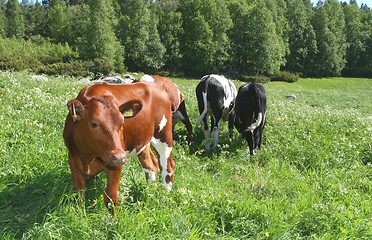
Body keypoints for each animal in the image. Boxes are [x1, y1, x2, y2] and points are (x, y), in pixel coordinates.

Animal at [63, 82, 175, 212]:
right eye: (93, 124)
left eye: (122, 123)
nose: (119, 156)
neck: (88, 158)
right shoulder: (73, 158)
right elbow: (79, 193)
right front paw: (80, 213)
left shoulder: (116, 164)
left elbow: (110, 198)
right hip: (142, 141)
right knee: (151, 165)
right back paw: (149, 191)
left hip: (164, 136)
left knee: (167, 167)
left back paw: (165, 196)